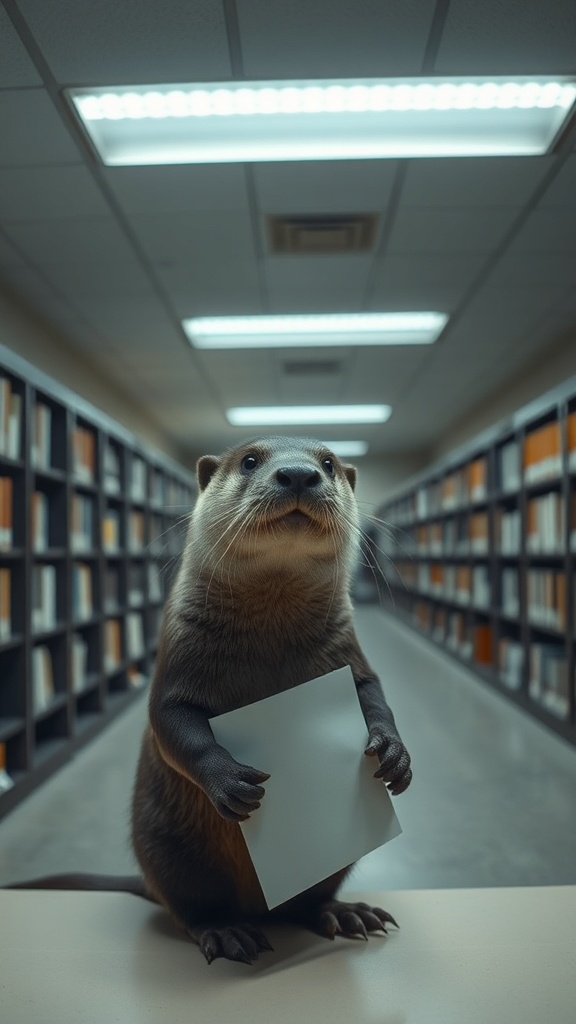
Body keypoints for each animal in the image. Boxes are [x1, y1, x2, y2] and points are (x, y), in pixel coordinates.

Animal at [8, 436, 412, 965]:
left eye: (327, 463)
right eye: (250, 461)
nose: (299, 474)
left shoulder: (349, 652)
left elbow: (373, 694)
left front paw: (394, 754)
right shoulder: (177, 655)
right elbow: (172, 722)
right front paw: (228, 781)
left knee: (308, 900)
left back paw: (343, 914)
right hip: (168, 851)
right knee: (190, 909)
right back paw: (227, 932)